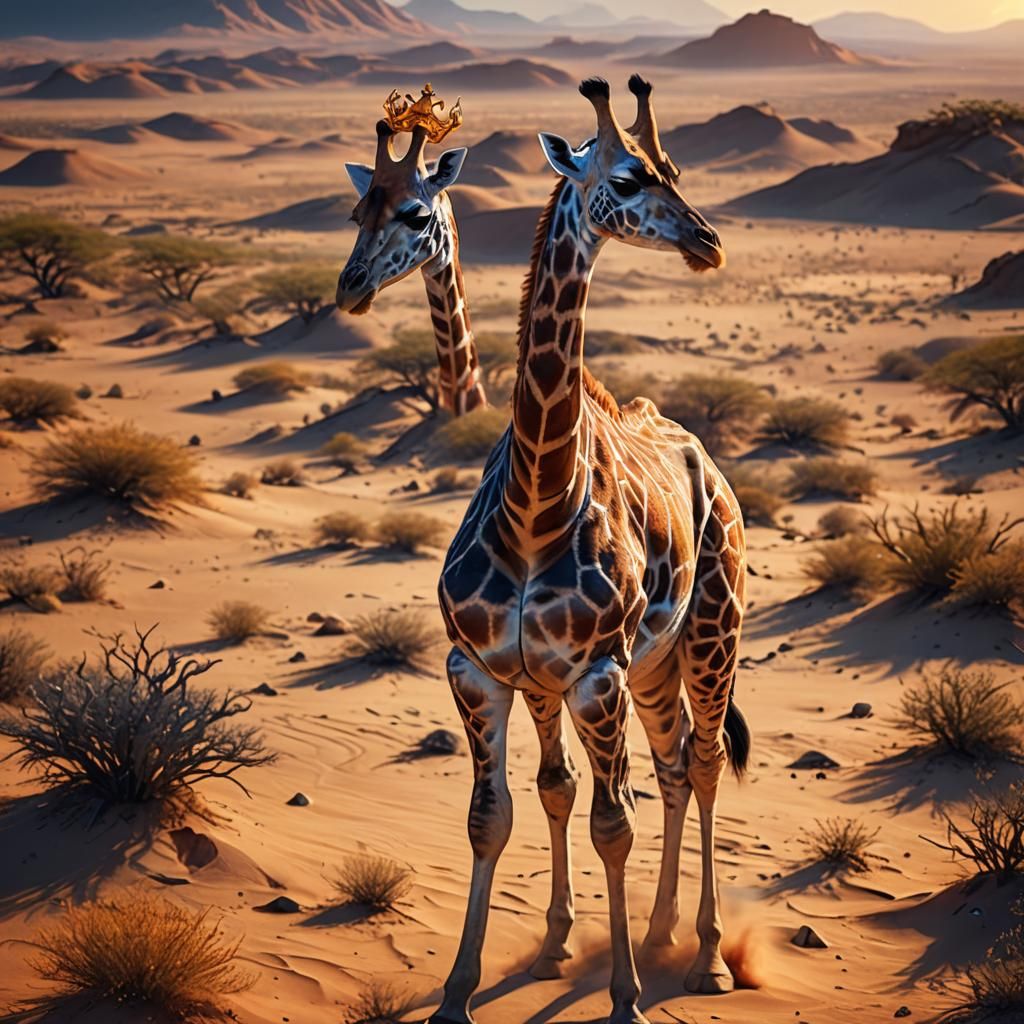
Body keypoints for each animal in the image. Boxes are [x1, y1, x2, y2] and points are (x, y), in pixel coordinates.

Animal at [431, 76, 750, 1024]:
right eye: (629, 176)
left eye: (674, 167)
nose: (708, 243)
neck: (533, 510)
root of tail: (712, 467)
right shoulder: (483, 670)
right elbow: (500, 813)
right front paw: (463, 989)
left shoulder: (594, 672)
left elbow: (615, 823)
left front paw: (625, 998)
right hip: (647, 666)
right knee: (668, 766)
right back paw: (650, 930)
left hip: (710, 636)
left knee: (704, 762)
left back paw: (705, 958)